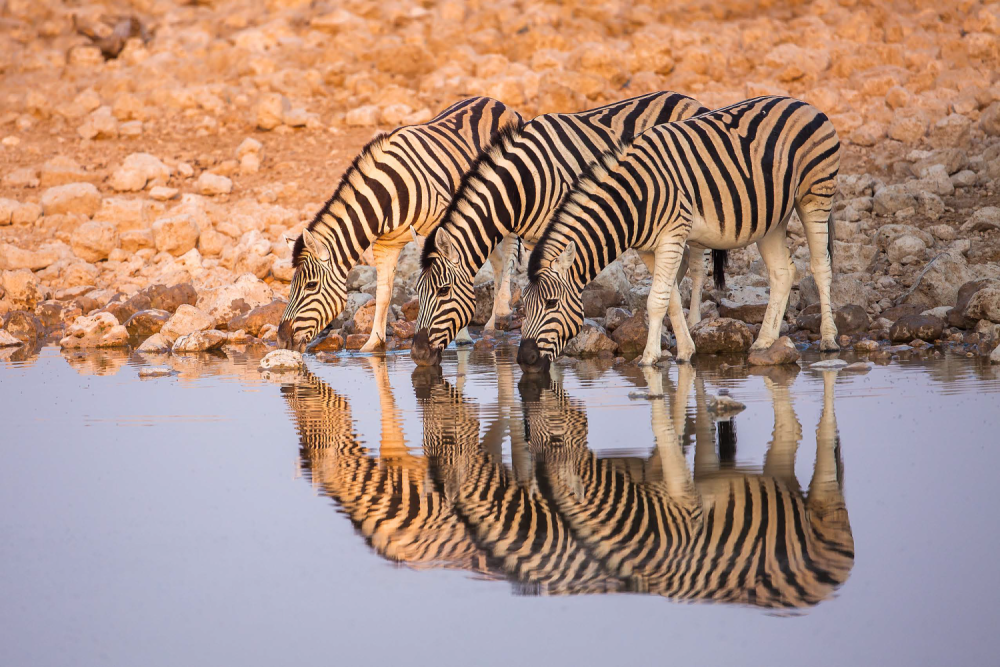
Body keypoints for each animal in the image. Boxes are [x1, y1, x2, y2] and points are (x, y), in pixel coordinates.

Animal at [276, 98, 524, 354]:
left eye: (311, 285)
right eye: (292, 286)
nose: (282, 341)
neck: (387, 195)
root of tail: (498, 102)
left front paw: (463, 337)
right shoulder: (385, 245)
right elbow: (383, 292)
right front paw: (373, 343)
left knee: (509, 251)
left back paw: (502, 312)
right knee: (497, 261)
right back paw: (493, 322)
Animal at [410, 91, 724, 368]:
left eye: (443, 291)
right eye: (419, 292)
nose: (417, 354)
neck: (524, 182)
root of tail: (689, 98)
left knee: (698, 264)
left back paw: (694, 321)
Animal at [520, 96, 840, 374]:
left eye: (551, 304)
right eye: (523, 305)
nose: (525, 358)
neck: (634, 200)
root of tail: (803, 103)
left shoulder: (672, 235)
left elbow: (656, 300)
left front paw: (649, 358)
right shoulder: (648, 248)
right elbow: (671, 297)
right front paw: (685, 351)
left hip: (815, 196)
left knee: (820, 267)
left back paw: (828, 340)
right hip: (772, 218)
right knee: (782, 272)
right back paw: (765, 341)